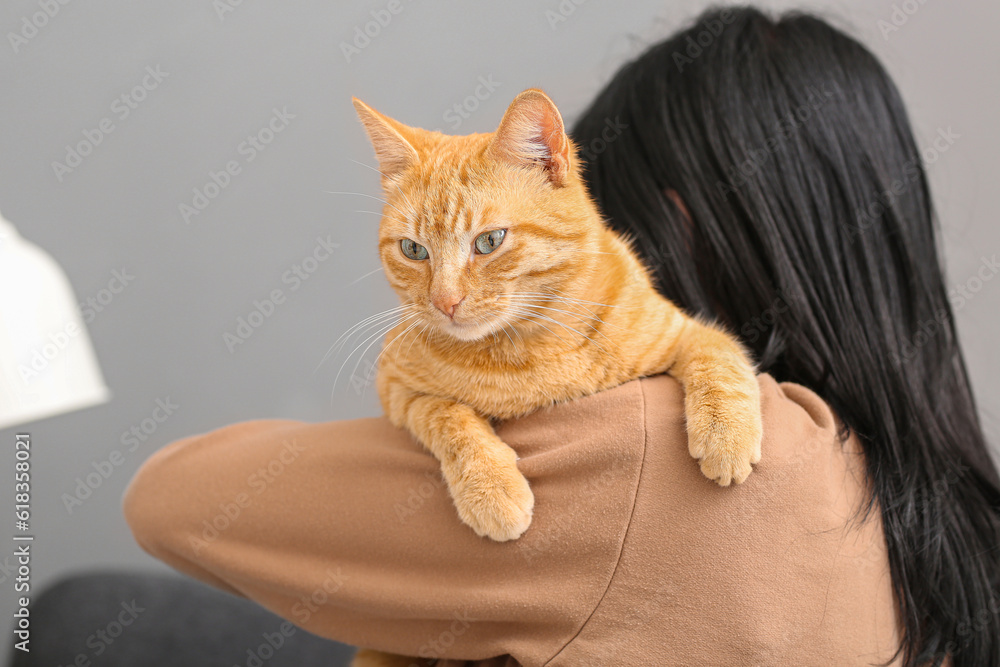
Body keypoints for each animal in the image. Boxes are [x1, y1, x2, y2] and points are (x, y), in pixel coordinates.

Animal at [348, 87, 760, 664]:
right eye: (413, 250)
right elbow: (447, 415)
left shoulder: (689, 333)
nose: (444, 303)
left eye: (489, 241)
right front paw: (492, 491)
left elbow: (720, 364)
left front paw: (726, 439)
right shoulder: (397, 388)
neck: (523, 350)